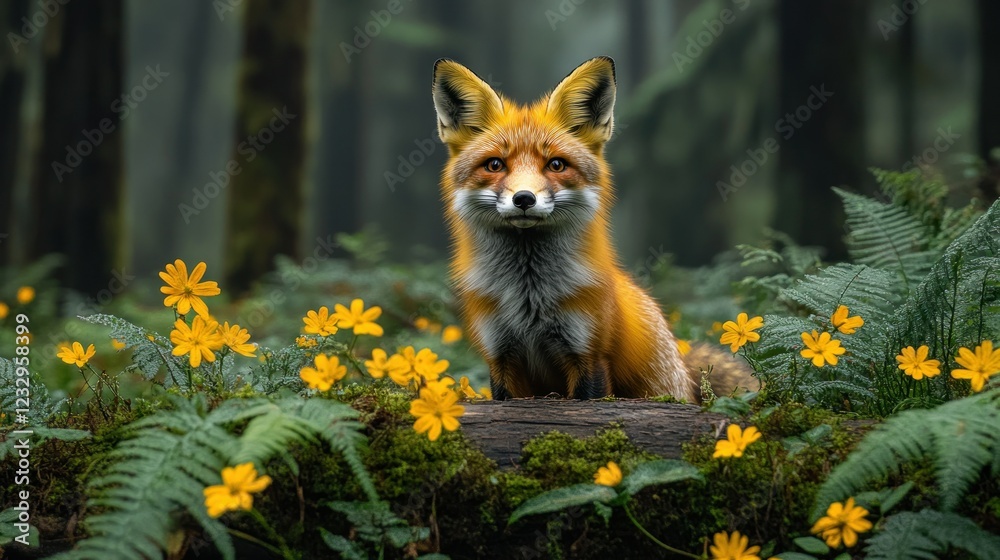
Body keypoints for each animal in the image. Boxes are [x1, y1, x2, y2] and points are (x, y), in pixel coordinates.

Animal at [432, 56, 755, 401]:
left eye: (556, 165)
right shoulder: (500, 357)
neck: (528, 296)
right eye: (495, 165)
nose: (524, 199)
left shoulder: (588, 354)